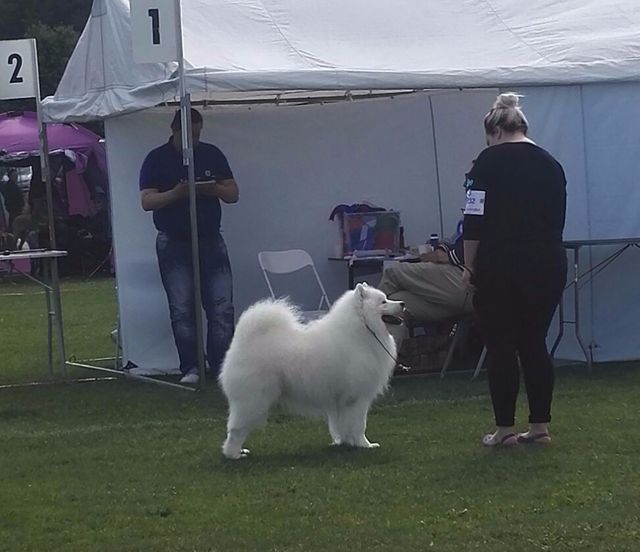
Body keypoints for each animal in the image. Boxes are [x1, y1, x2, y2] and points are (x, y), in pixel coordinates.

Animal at [218, 282, 402, 460]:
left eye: (387, 299)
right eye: (383, 302)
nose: (403, 303)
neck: (362, 330)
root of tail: (242, 342)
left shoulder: (340, 401)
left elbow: (340, 424)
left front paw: (344, 442)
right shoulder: (356, 398)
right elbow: (359, 425)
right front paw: (364, 445)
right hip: (254, 399)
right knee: (236, 429)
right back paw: (234, 454)